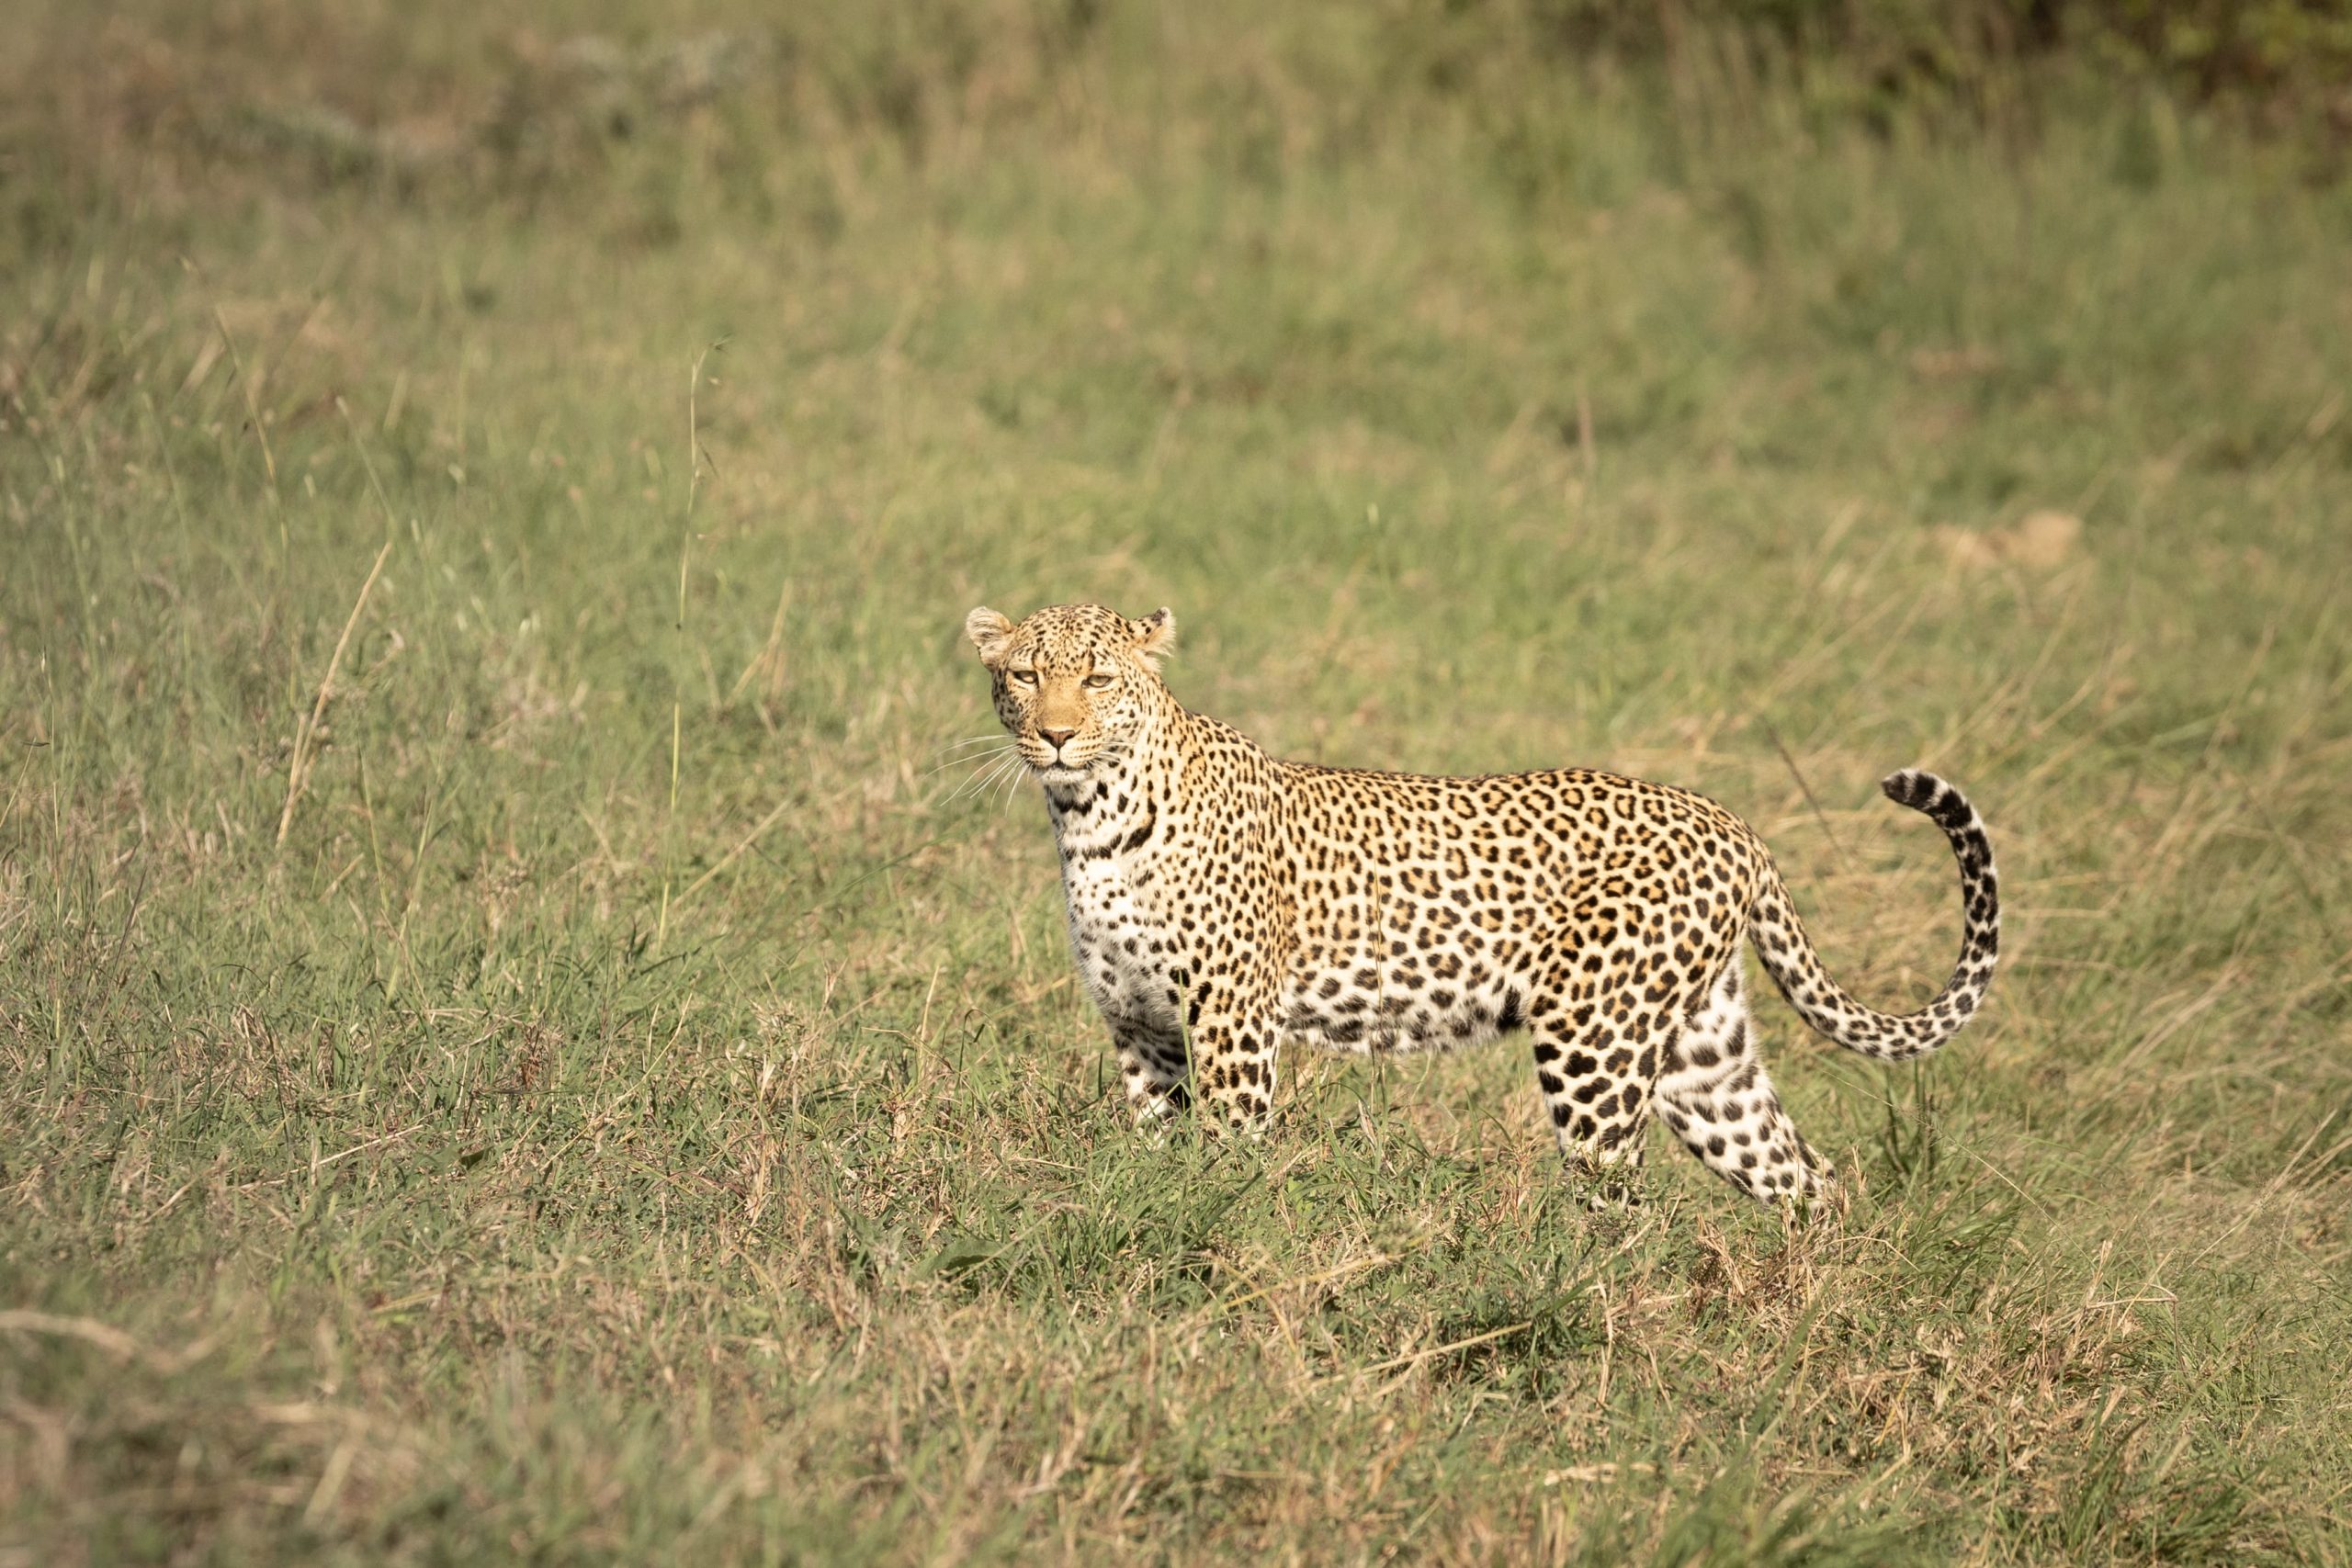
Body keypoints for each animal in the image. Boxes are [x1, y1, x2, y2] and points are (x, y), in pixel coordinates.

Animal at [962, 601, 1999, 1208]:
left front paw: (1218, 1233)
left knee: (1616, 1199)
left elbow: (1227, 1146)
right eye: (1025, 675)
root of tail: (1734, 826)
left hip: (1595, 1041)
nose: (1057, 736)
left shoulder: (1229, 1021)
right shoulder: (1141, 1027)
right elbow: (1156, 1143)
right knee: (1806, 1180)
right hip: (1703, 1058)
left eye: (1098, 677)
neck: (1090, 817)